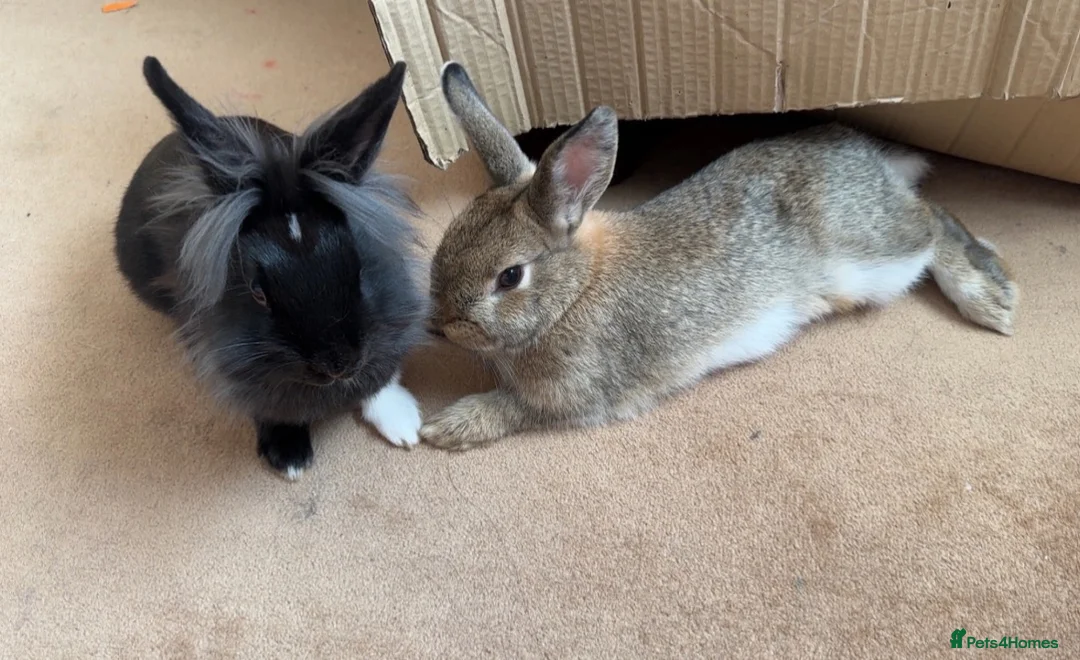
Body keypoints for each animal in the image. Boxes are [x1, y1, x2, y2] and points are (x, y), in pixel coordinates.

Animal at [419, 62, 1019, 451]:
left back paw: (991, 297)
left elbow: (510, 409)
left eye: (510, 277)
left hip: (874, 260)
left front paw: (443, 428)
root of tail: (869, 154)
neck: (574, 290)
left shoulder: (576, 395)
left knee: (932, 219)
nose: (440, 326)